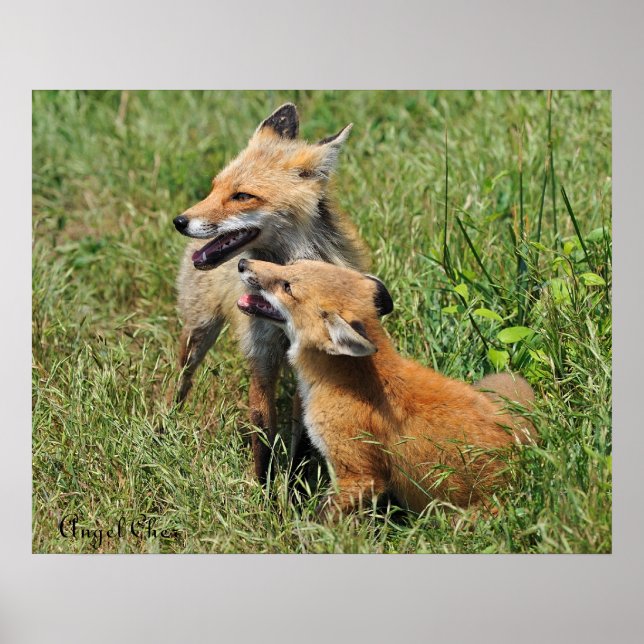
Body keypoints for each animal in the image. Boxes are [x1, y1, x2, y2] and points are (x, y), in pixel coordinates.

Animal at [172, 103, 370, 482]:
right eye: (214, 188)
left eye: (242, 196)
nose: (179, 221)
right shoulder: (260, 353)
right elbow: (262, 431)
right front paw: (261, 490)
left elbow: (301, 439)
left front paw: (293, 491)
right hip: (197, 333)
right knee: (180, 381)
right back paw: (164, 425)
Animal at [236, 258, 537, 517]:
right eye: (291, 264)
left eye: (287, 287)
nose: (242, 263)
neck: (341, 381)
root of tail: (525, 466)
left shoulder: (359, 474)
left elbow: (320, 520)